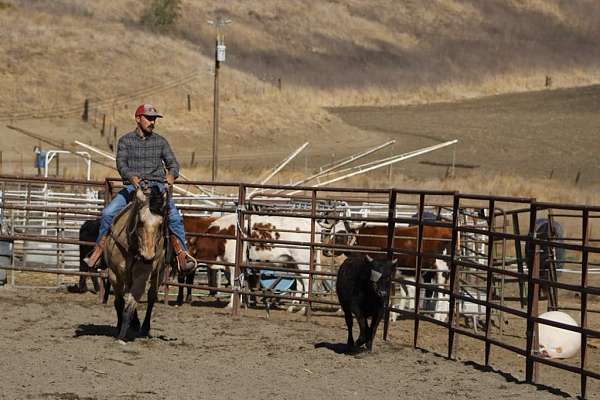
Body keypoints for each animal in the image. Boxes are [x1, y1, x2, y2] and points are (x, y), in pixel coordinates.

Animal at [103, 182, 171, 340]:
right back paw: (135, 323)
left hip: (159, 273)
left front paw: (122, 336)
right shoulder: (114, 274)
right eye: (140, 221)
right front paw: (119, 327)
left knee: (151, 297)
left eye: (161, 224)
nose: (148, 256)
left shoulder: (142, 275)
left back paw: (144, 327)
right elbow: (120, 302)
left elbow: (130, 304)